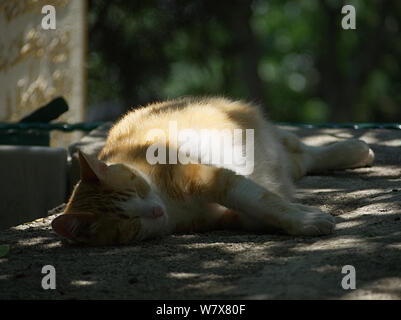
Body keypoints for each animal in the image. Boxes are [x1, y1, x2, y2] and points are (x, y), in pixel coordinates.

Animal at [51, 96, 374, 244]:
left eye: (139, 190)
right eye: (128, 221)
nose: (155, 211)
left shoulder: (215, 179)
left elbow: (263, 200)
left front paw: (304, 218)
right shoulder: (226, 215)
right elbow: (264, 209)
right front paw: (301, 217)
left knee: (306, 151)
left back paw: (356, 150)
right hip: (282, 163)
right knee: (301, 161)